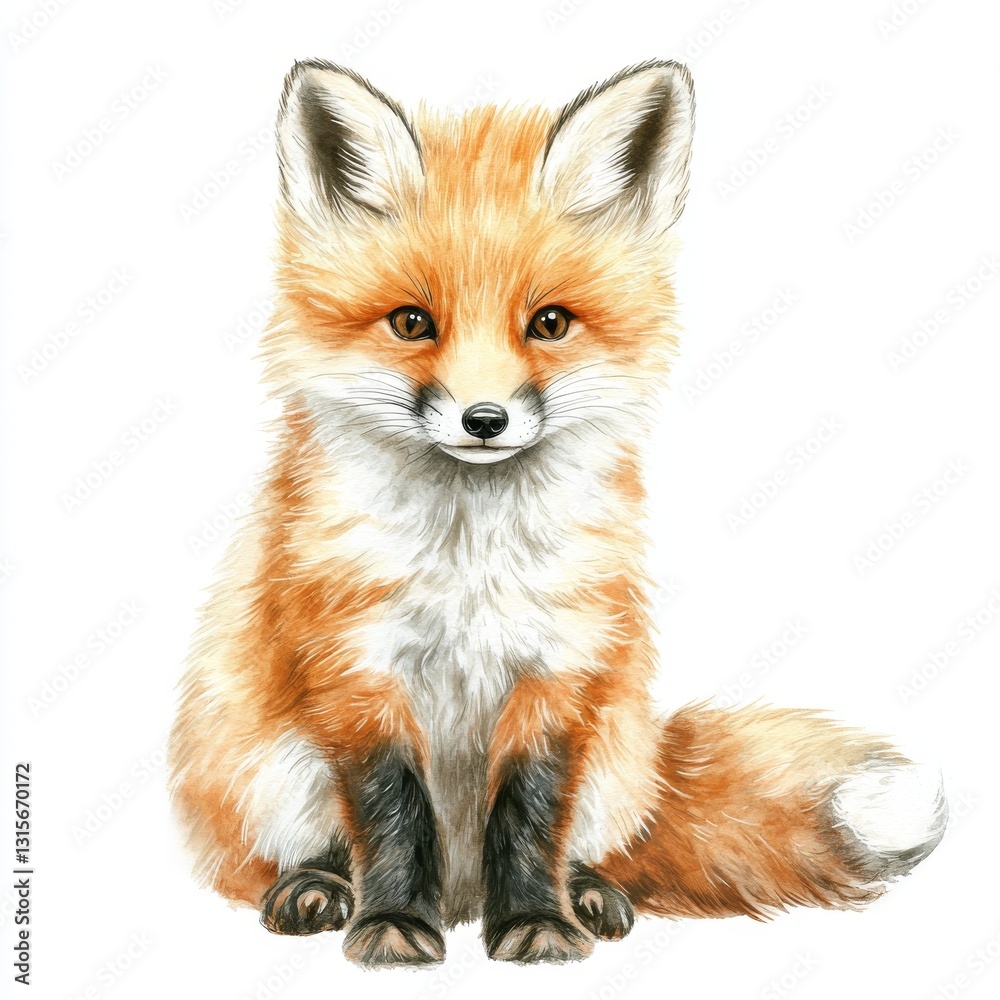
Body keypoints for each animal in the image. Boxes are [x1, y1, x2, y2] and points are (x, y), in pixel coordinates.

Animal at [169, 59, 947, 967]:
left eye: (548, 323)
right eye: (412, 322)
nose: (483, 420)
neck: (470, 559)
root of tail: (460, 895)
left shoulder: (562, 664)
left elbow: (531, 811)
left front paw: (539, 922)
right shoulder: (355, 665)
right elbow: (392, 810)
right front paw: (392, 923)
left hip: (616, 760)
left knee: (595, 844)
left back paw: (589, 894)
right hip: (269, 767)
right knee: (280, 857)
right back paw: (319, 888)